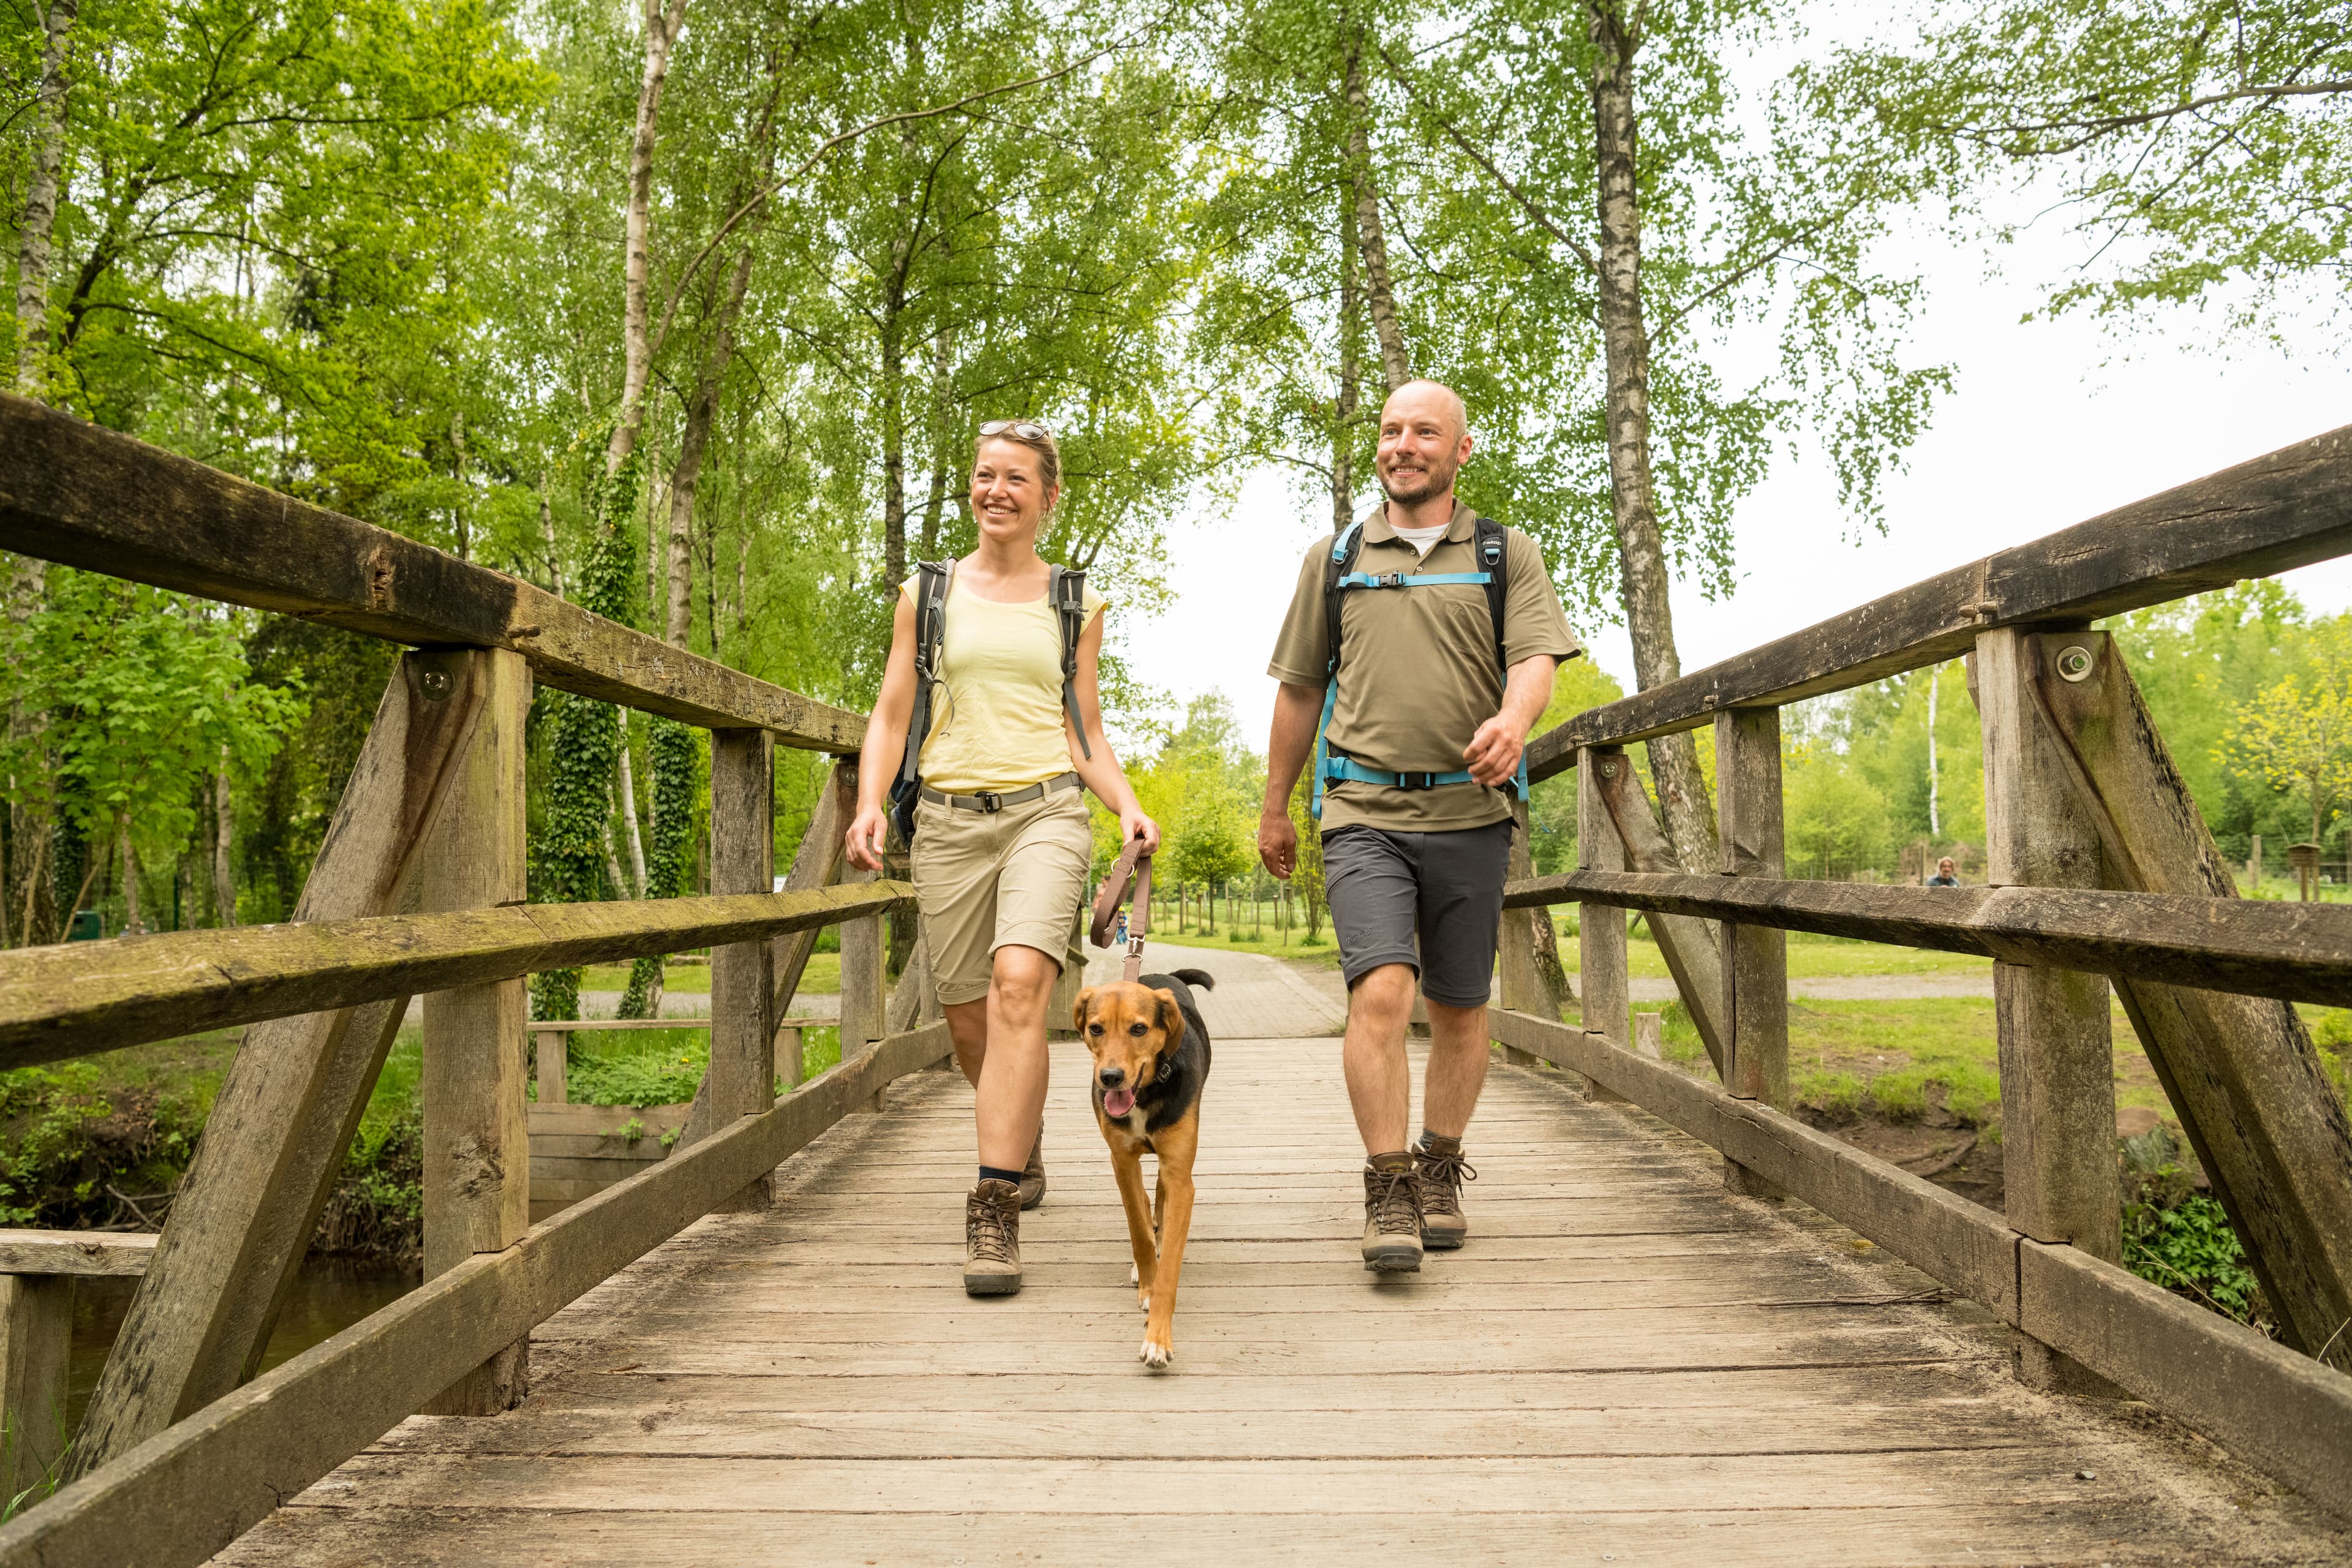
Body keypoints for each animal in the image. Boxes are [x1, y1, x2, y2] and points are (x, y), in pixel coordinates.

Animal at [1068, 968, 1213, 1373]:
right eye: (1096, 1028)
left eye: (1138, 1029)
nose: (1110, 1077)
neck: (1147, 1094)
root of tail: (1162, 975)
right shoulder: (1122, 1162)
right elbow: (1138, 1230)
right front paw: (1146, 1279)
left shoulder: (1180, 1176)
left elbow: (1170, 1268)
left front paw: (1158, 1340)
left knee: (1160, 1195)